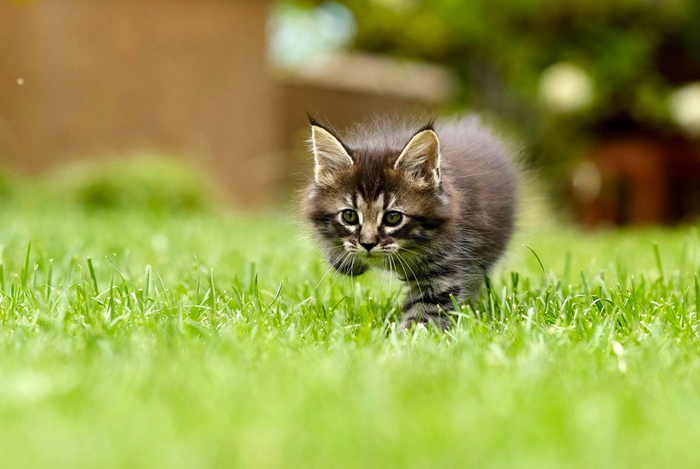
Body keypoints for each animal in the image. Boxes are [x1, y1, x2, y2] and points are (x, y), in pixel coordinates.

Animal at [304, 114, 516, 328]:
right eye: (350, 216)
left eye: (393, 218)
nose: (368, 244)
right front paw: (346, 260)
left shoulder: (444, 266)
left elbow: (427, 310)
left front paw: (410, 334)